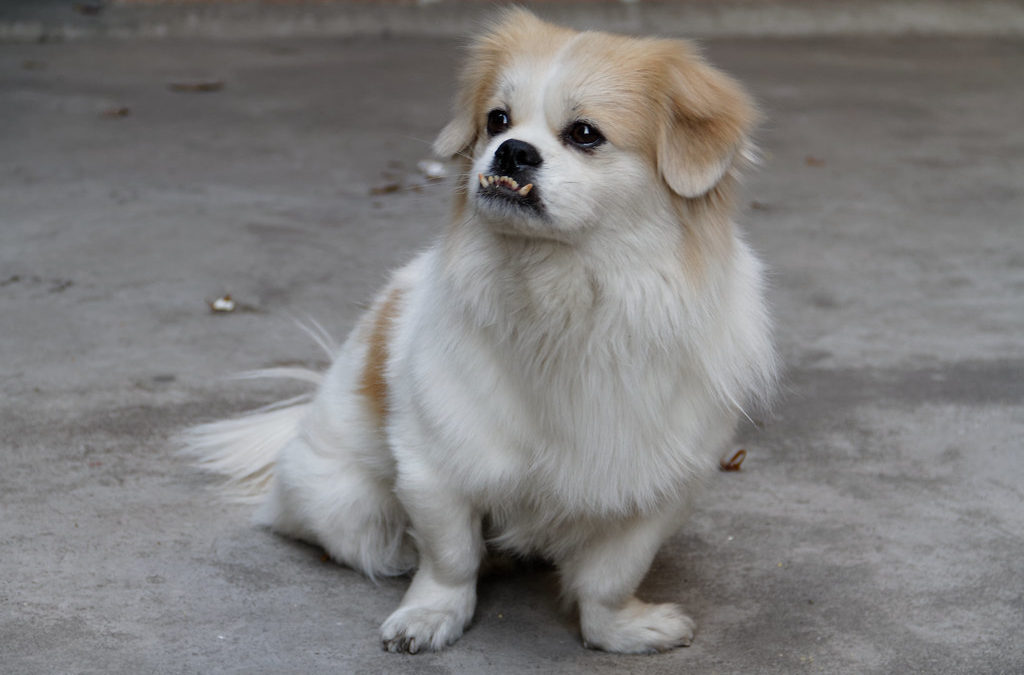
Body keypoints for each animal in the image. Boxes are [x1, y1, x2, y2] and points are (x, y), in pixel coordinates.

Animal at [184, 7, 774, 655]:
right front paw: (431, 615)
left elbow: (610, 578)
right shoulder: (437, 466)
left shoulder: (656, 489)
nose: (512, 150)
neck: (563, 294)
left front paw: (621, 631)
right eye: (497, 120)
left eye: (584, 134)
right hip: (347, 504)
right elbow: (450, 558)